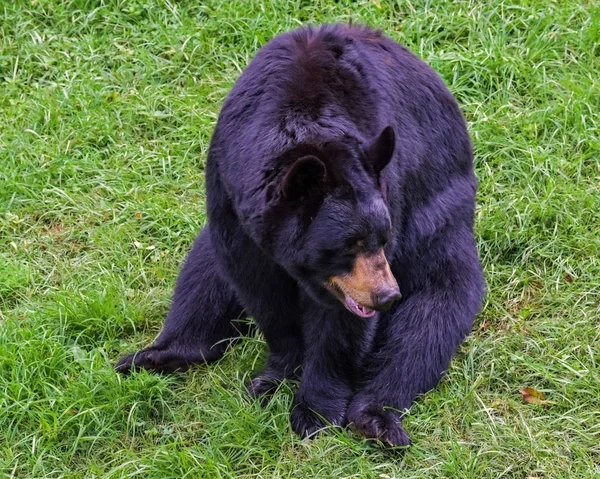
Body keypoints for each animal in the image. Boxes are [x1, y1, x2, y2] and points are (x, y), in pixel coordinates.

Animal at [116, 24, 482, 448]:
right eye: (349, 243)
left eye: (383, 237)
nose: (386, 296)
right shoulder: (233, 206)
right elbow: (262, 294)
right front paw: (274, 378)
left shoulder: (390, 203)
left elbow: (343, 326)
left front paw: (314, 411)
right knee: (201, 276)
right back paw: (158, 355)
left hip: (438, 222)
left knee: (429, 318)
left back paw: (374, 417)